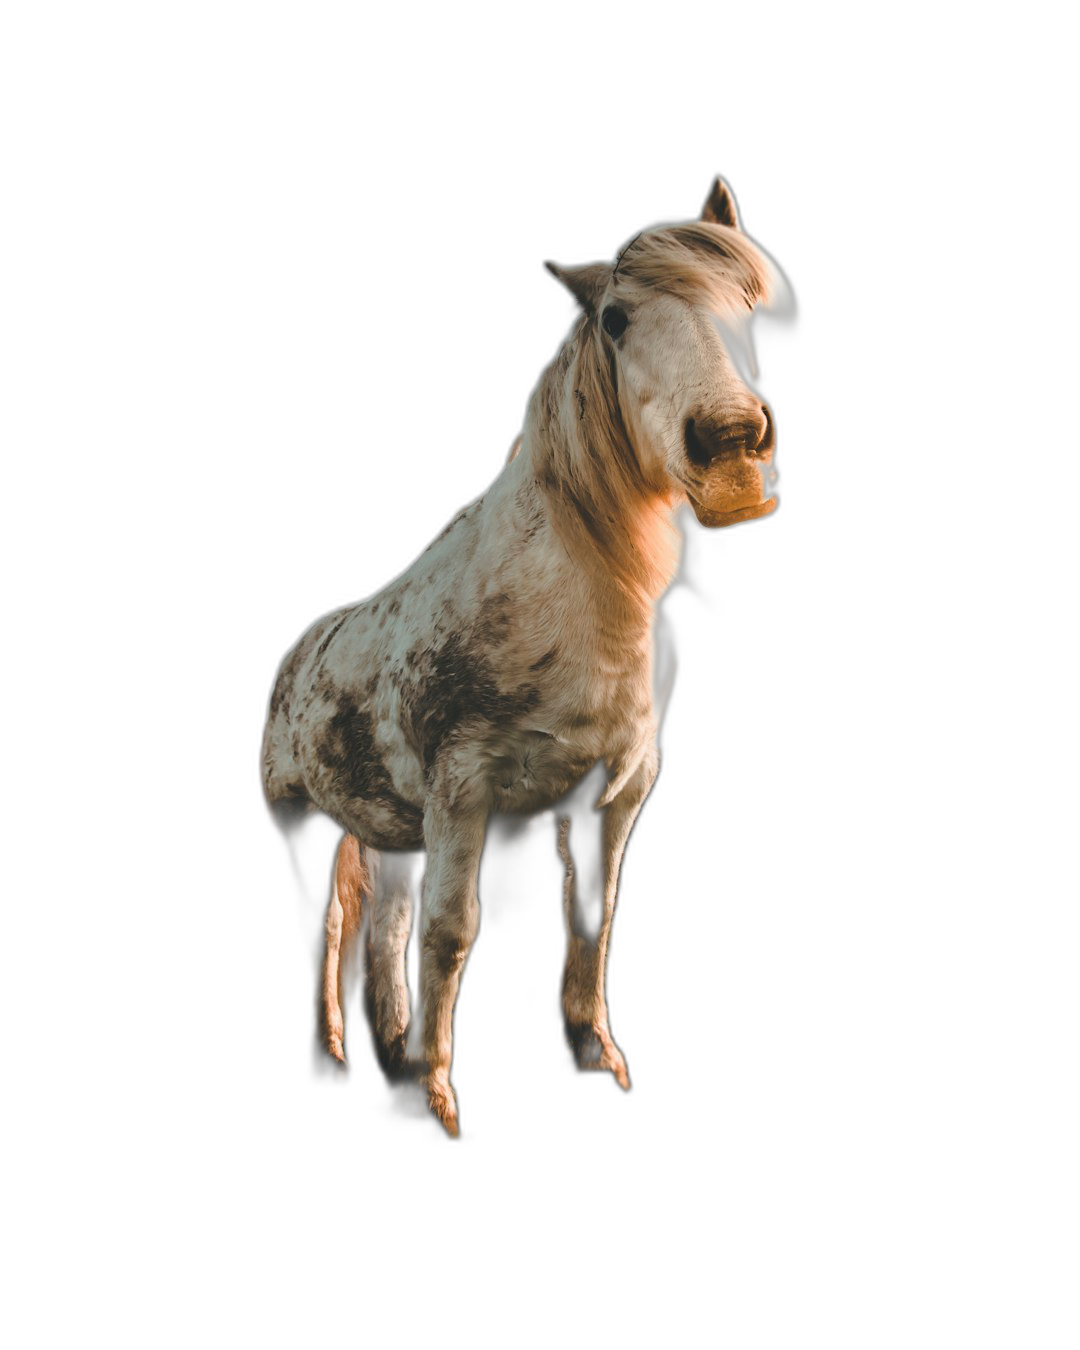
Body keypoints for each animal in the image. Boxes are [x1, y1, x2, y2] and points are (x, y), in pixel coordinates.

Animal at [257, 171, 788, 1139]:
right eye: (615, 319)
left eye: (750, 302)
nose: (729, 440)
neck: (565, 604)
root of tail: (299, 653)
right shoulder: (463, 795)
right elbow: (452, 930)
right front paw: (435, 1092)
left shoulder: (616, 795)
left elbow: (591, 913)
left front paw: (596, 1055)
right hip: (308, 829)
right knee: (327, 932)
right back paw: (340, 1063)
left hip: (390, 833)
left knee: (382, 931)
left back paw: (390, 1052)